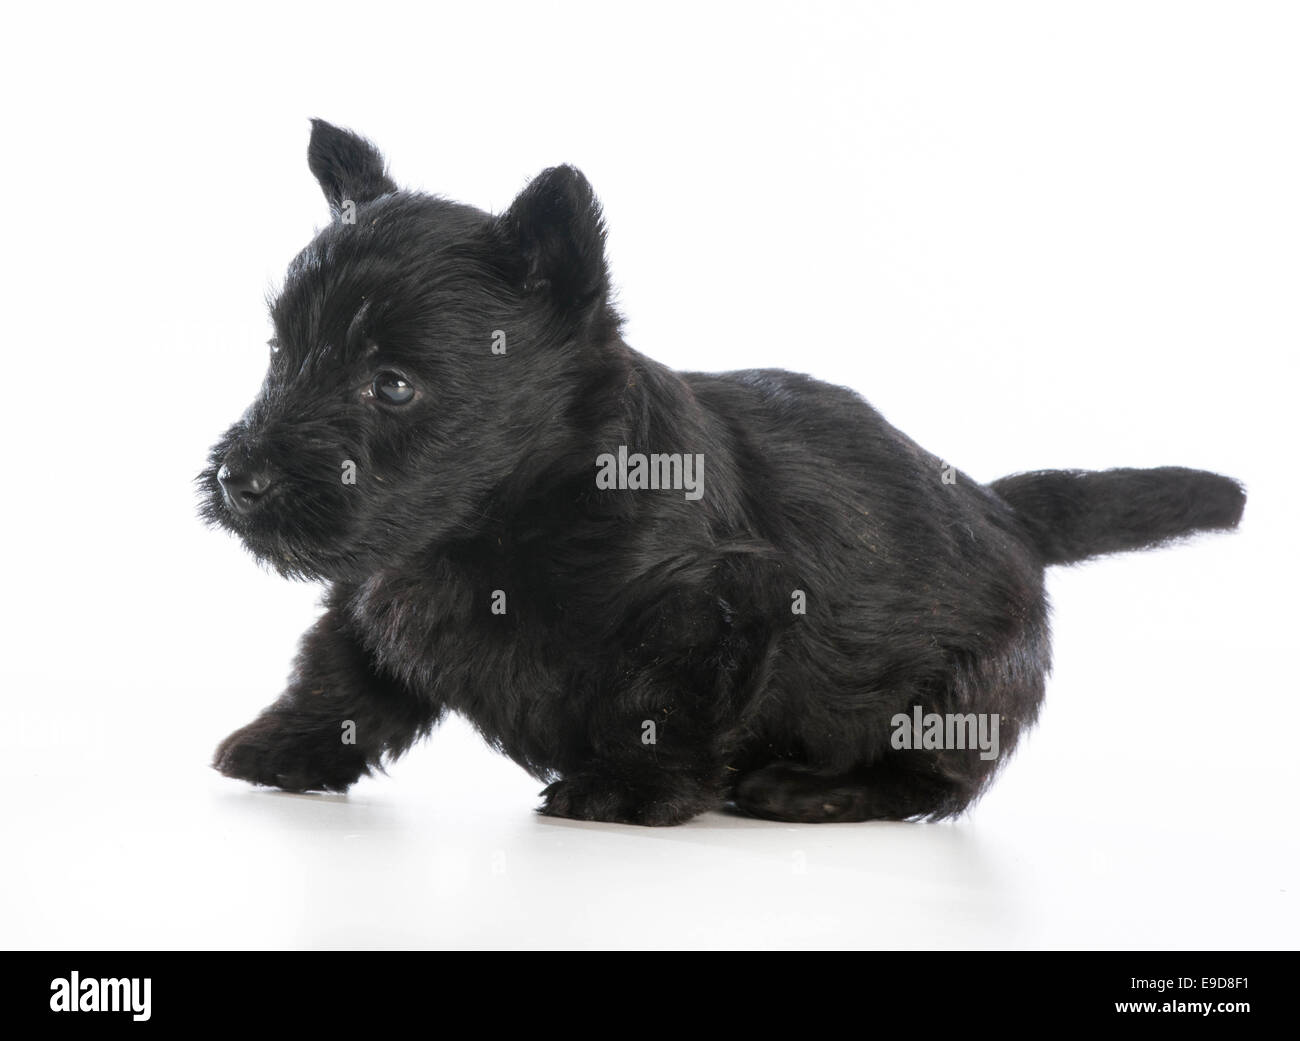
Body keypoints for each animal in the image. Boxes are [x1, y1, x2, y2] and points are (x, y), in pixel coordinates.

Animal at [200, 117, 1237, 826]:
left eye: (393, 384)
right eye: (280, 352)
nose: (239, 479)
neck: (495, 522)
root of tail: (997, 505)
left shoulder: (723, 602)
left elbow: (666, 701)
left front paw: (627, 788)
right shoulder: (379, 587)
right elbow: (339, 673)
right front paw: (281, 746)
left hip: (960, 691)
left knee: (932, 776)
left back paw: (808, 788)